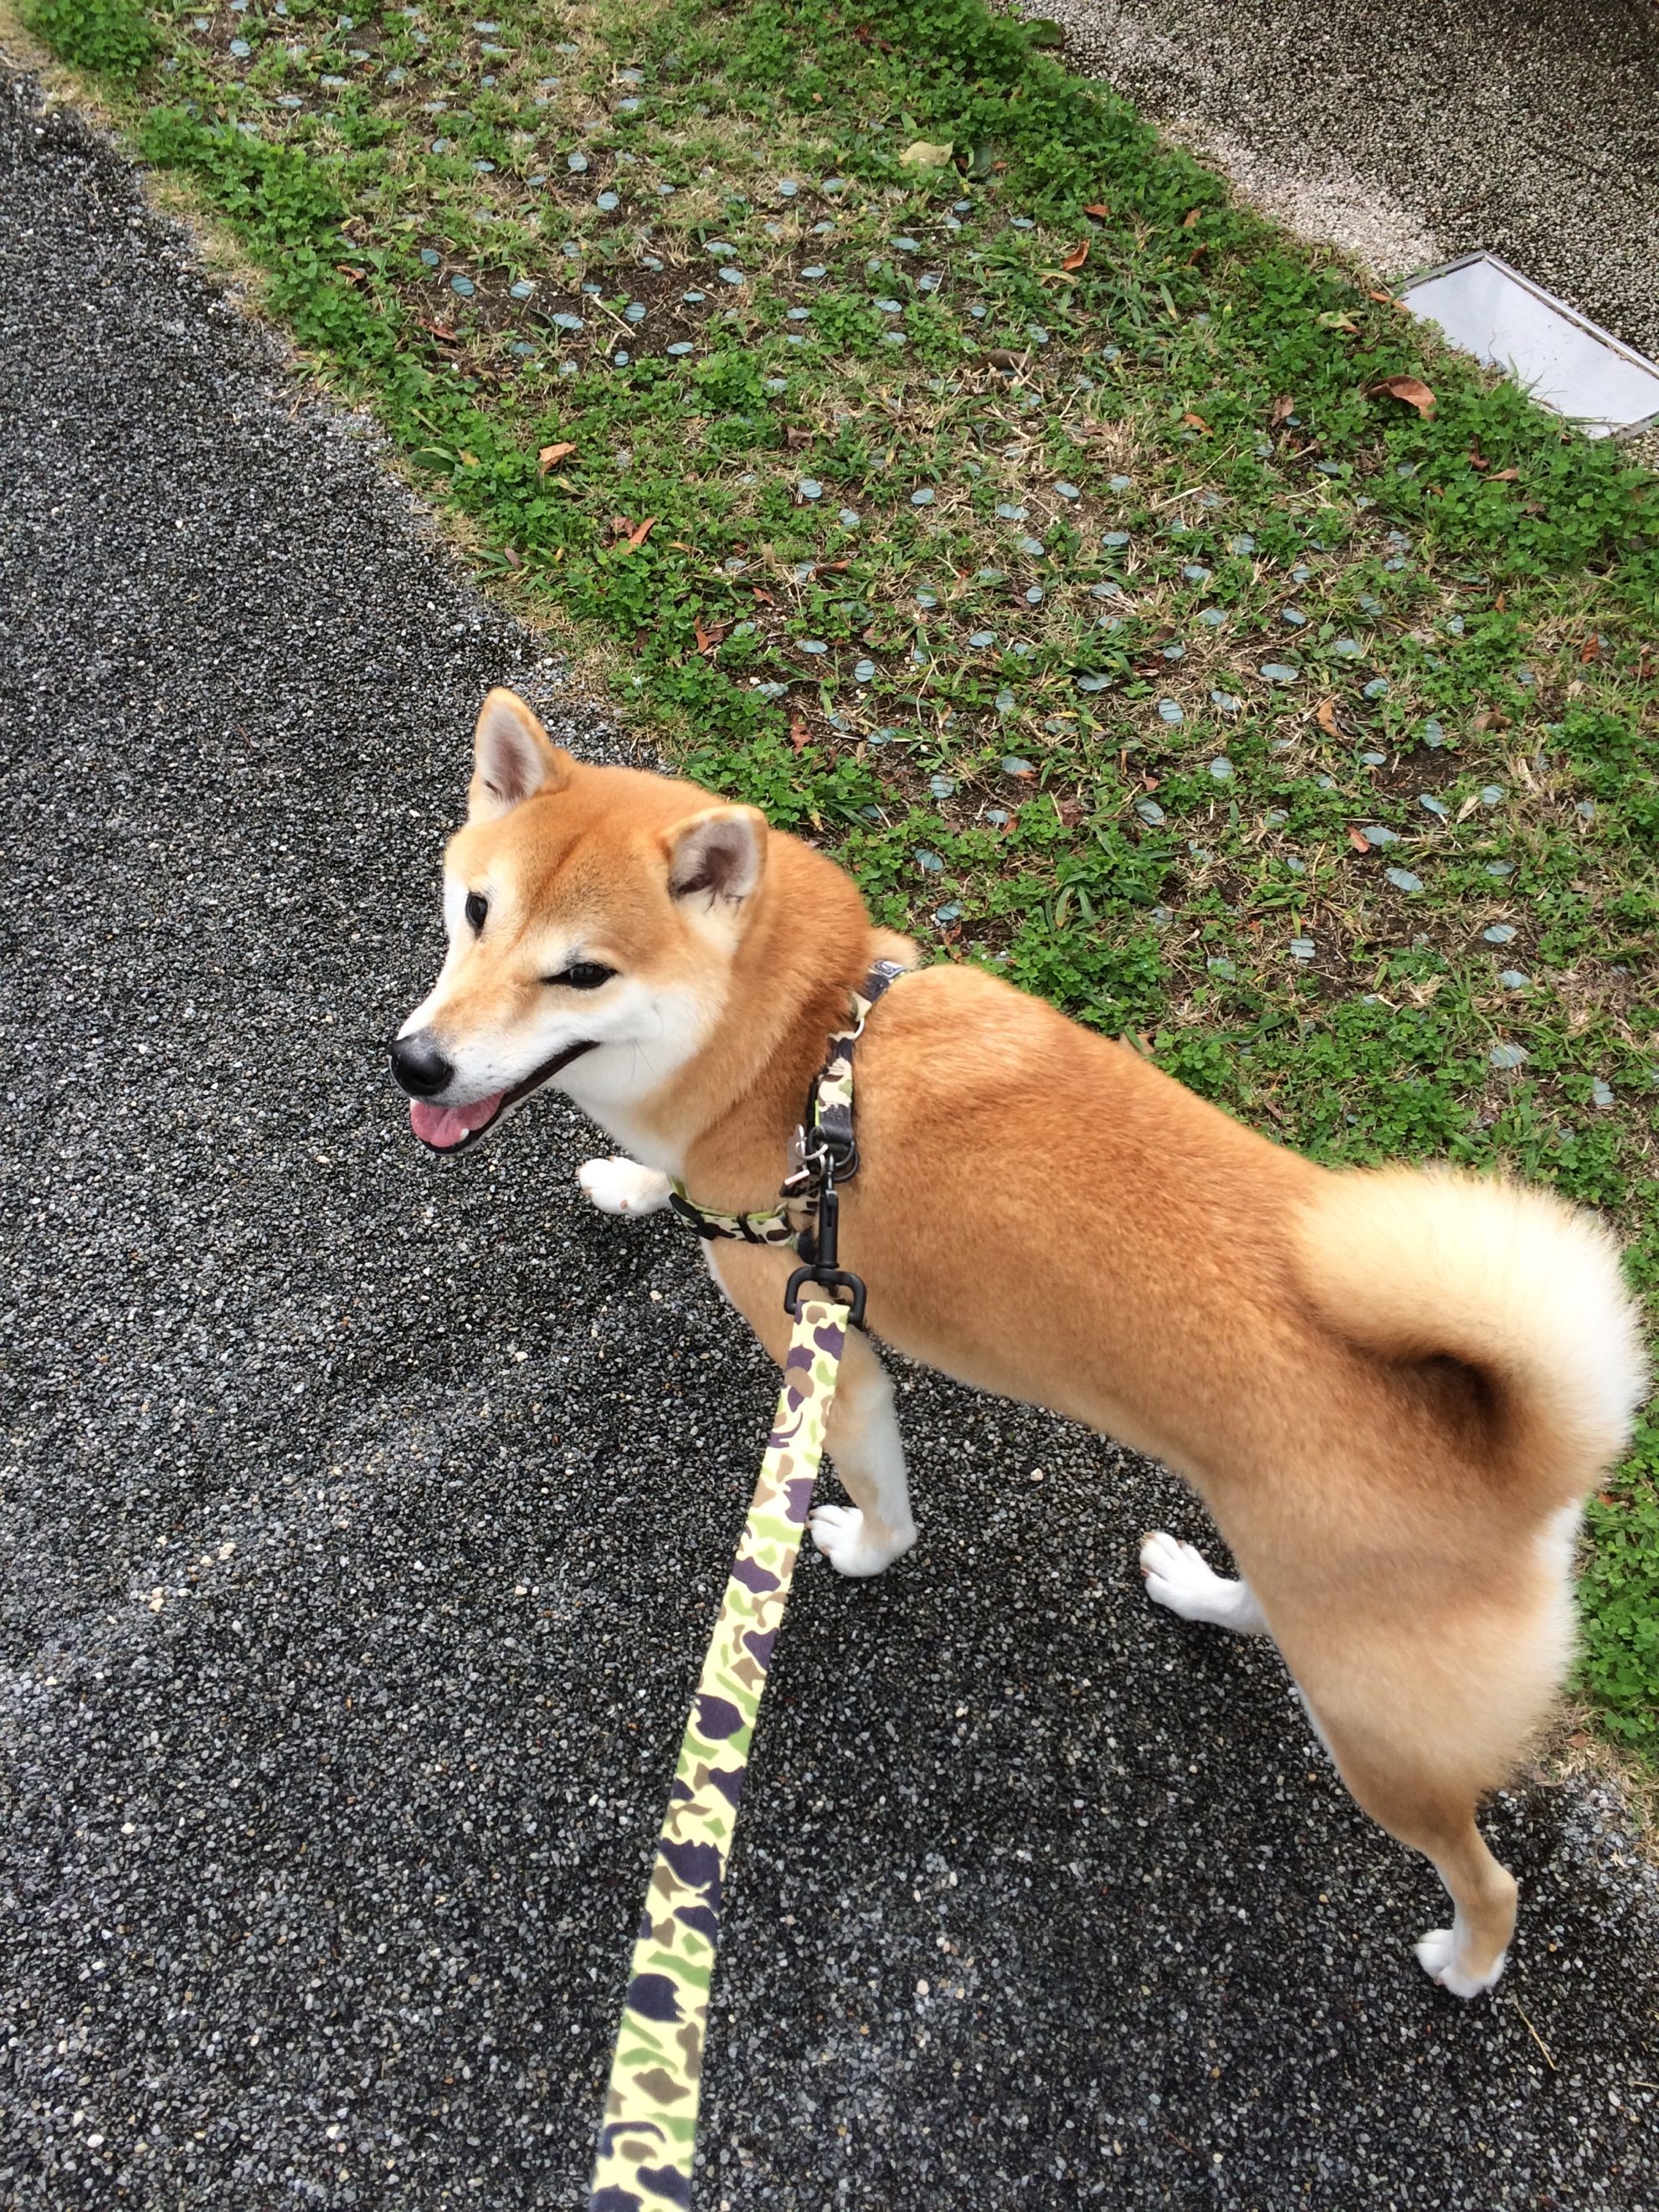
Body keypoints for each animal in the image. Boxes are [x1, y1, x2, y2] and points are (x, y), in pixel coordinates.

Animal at [393, 681, 1654, 1999]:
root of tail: (1521, 1459)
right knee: (1266, 1612)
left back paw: (1466, 1959)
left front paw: (859, 1550)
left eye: (581, 973)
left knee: (1483, 1870)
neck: (796, 1057)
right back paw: (1195, 1589)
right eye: (475, 911)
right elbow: (659, 1178)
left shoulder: (830, 1352)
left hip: (1375, 1729)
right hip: (1318, 1613)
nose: (415, 1062)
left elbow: (882, 1503)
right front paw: (634, 1185)